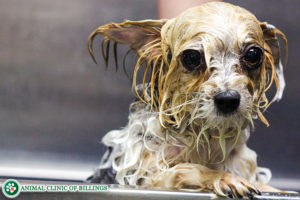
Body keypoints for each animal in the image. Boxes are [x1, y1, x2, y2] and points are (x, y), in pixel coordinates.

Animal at [87, 1, 288, 198]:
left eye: (253, 54)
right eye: (192, 57)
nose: (228, 99)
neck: (205, 137)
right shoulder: (147, 176)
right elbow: (188, 168)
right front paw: (224, 178)